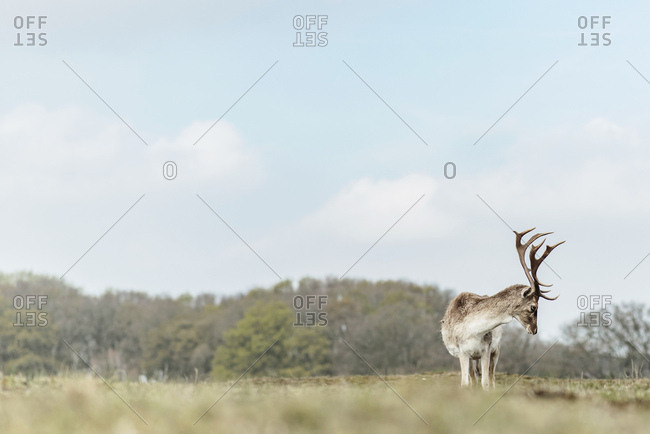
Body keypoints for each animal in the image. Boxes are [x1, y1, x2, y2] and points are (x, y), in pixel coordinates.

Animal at [440, 228, 564, 389]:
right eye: (533, 307)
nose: (534, 329)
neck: (471, 331)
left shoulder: (486, 349)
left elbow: (486, 382)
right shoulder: (462, 352)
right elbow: (465, 383)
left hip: (496, 350)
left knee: (490, 377)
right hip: (473, 358)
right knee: (473, 378)